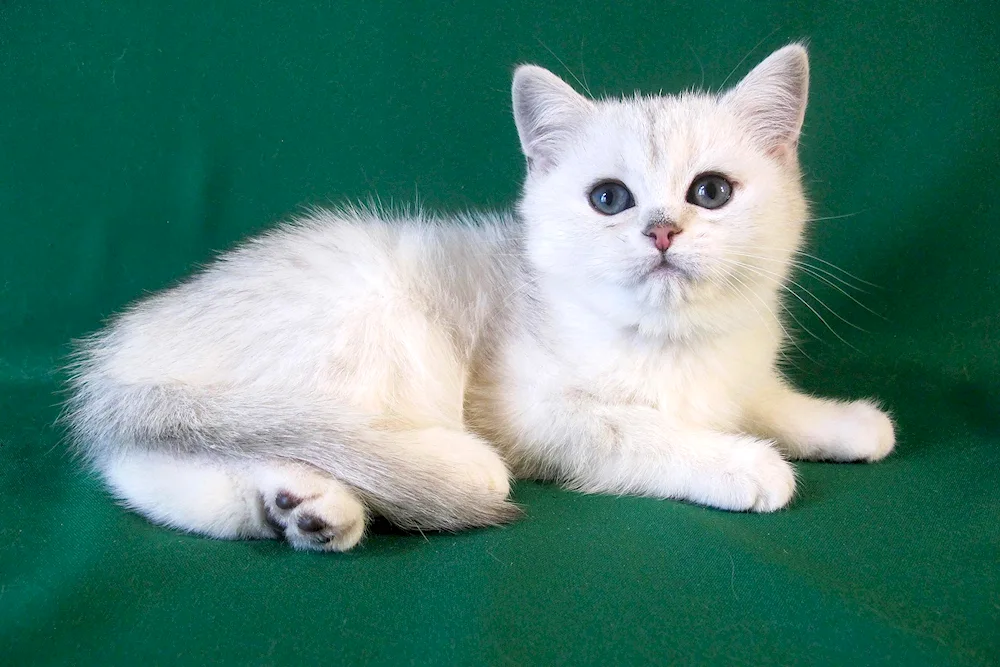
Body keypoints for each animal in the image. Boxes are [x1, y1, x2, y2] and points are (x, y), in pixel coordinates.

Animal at [66, 43, 896, 552]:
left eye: (712, 192)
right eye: (609, 197)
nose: (662, 229)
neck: (672, 341)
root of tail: (120, 352)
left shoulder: (738, 372)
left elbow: (767, 398)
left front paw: (845, 423)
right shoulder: (539, 414)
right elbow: (640, 432)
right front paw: (743, 462)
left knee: (153, 469)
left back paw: (305, 508)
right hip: (374, 324)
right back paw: (420, 472)